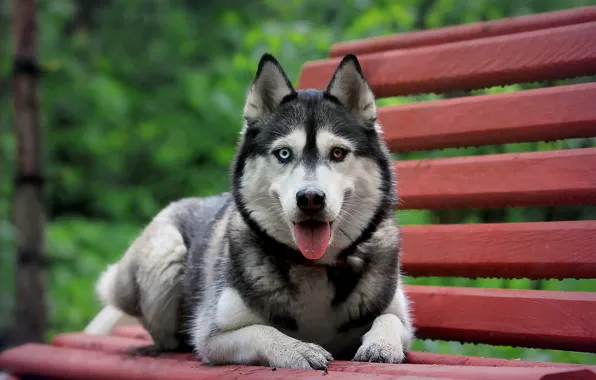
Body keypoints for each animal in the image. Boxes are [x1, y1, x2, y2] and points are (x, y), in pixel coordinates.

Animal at [96, 52, 414, 368]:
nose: (310, 198)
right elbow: (262, 330)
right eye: (284, 153)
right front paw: (297, 349)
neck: (314, 266)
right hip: (165, 254)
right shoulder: (213, 336)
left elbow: (389, 318)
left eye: (338, 153)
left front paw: (382, 343)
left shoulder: (400, 316)